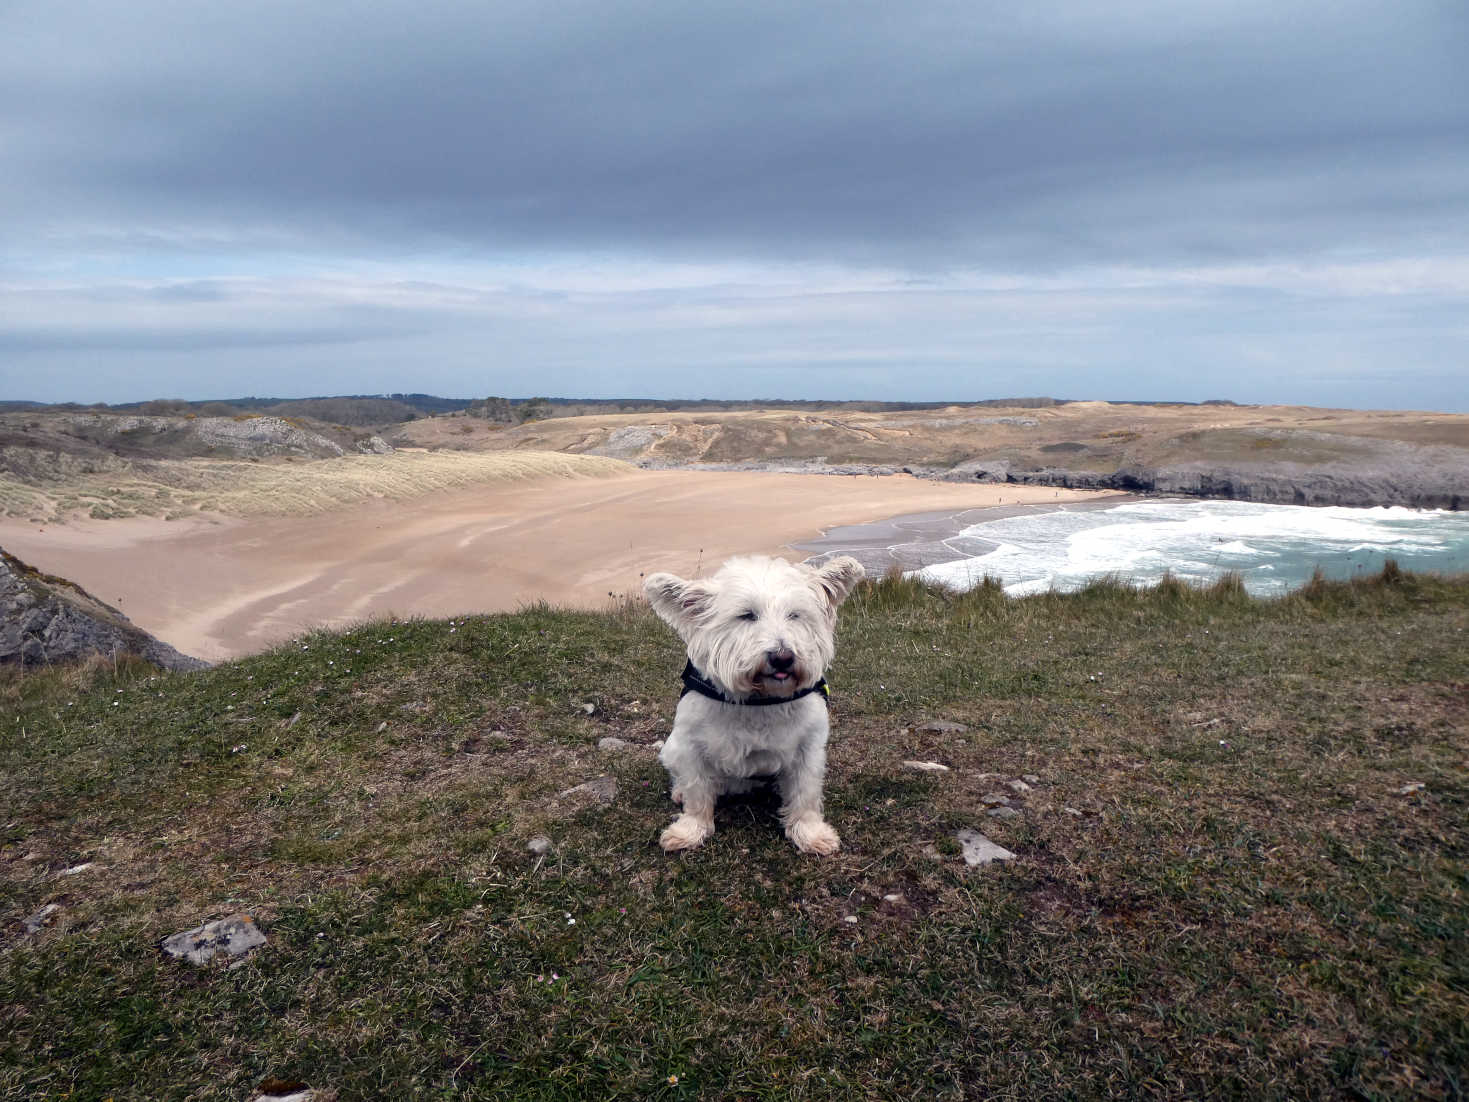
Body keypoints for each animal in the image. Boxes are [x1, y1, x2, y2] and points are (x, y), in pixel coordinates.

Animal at [640, 555, 857, 858]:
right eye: (746, 615)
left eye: (794, 615)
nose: (783, 658)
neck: (760, 699)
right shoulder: (692, 746)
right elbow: (697, 791)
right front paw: (690, 830)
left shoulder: (808, 749)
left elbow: (805, 793)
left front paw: (810, 833)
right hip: (672, 748)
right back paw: (679, 791)